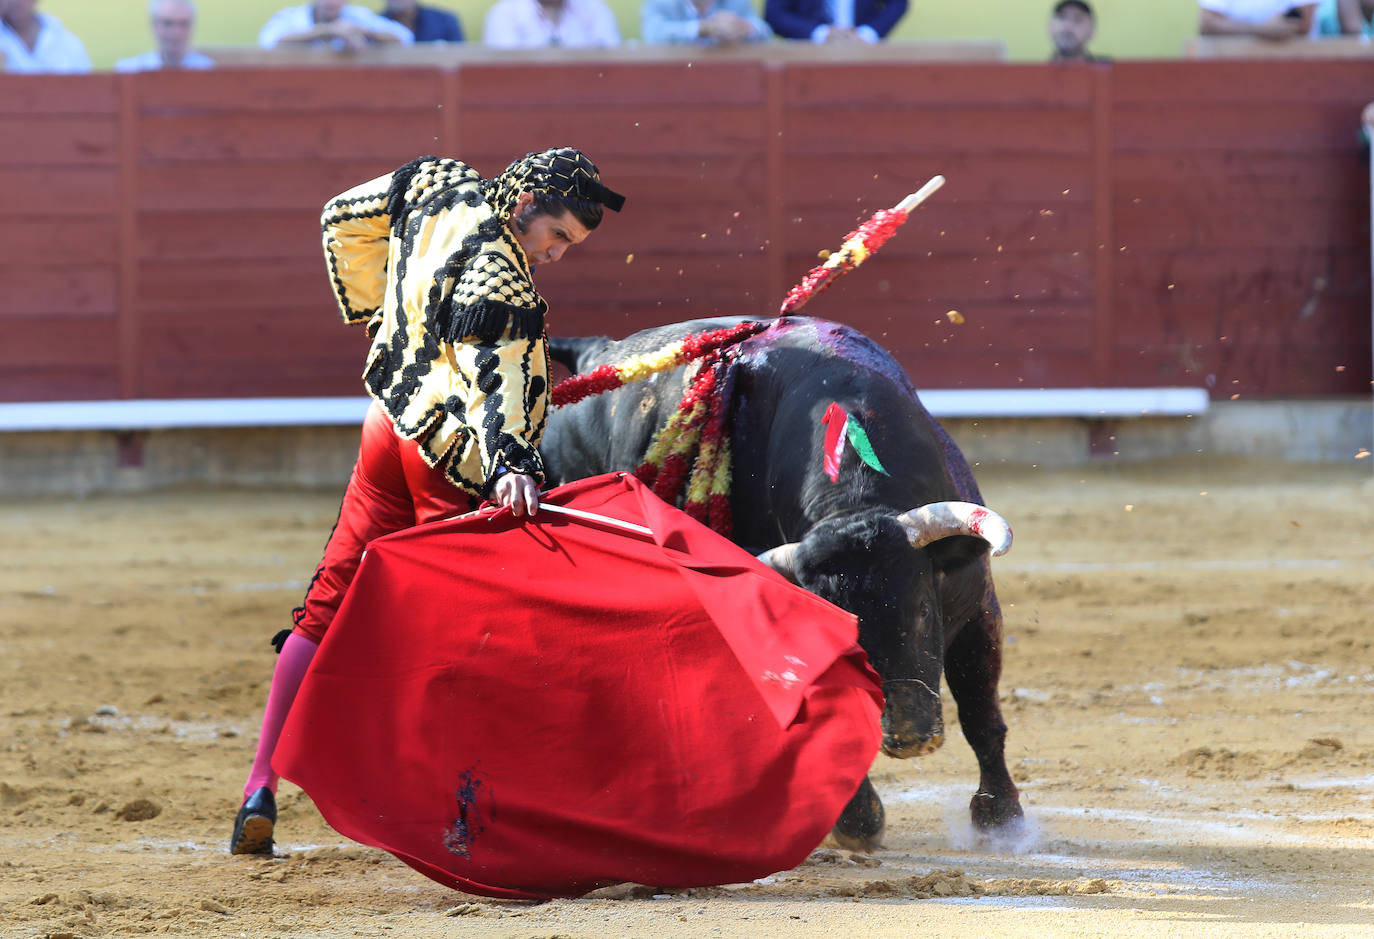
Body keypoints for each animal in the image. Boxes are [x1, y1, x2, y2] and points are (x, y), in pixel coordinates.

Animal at [541, 317, 1027, 852]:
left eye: (923, 608)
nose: (908, 736)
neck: (853, 499)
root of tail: (595, 358)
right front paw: (858, 822)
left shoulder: (977, 607)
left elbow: (980, 713)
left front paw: (1001, 820)